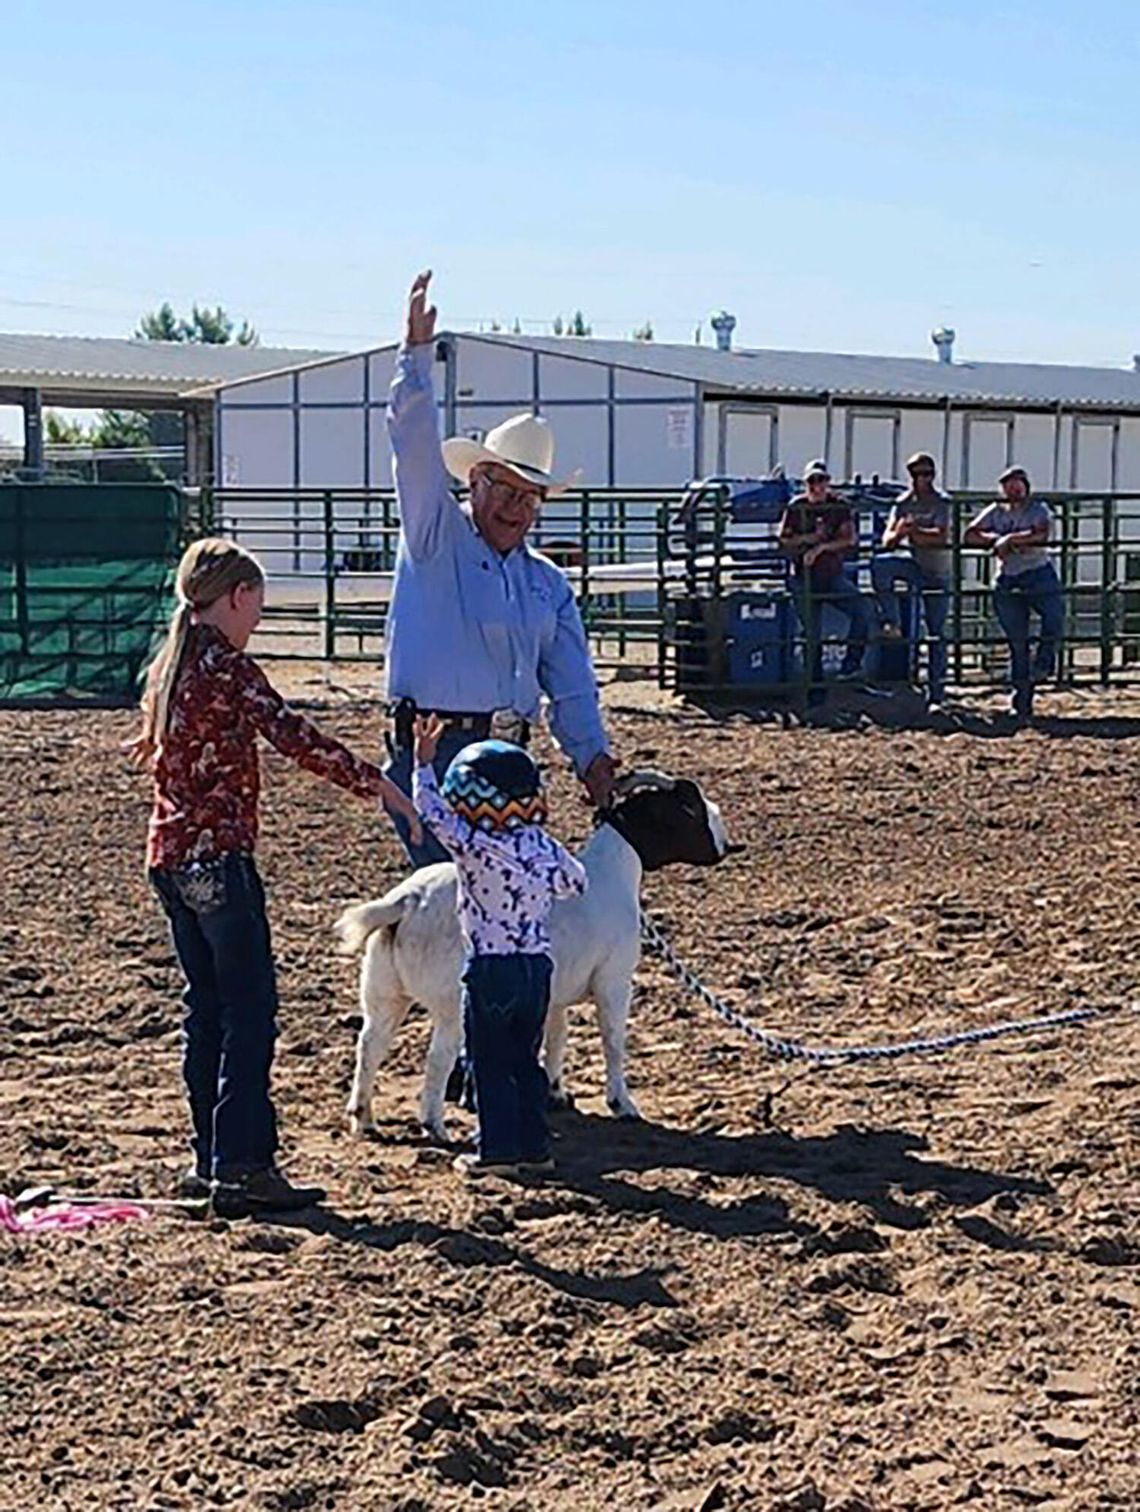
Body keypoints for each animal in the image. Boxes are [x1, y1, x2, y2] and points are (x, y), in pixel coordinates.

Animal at [332, 774, 731, 1137]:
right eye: (689, 807)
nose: (726, 843)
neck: (607, 876)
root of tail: (408, 902)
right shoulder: (614, 980)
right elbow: (613, 1041)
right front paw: (623, 1104)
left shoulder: (556, 993)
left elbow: (557, 1037)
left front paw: (556, 1093)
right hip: (452, 1005)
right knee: (437, 1058)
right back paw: (435, 1126)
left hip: (383, 992)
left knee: (369, 1046)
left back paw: (364, 1119)